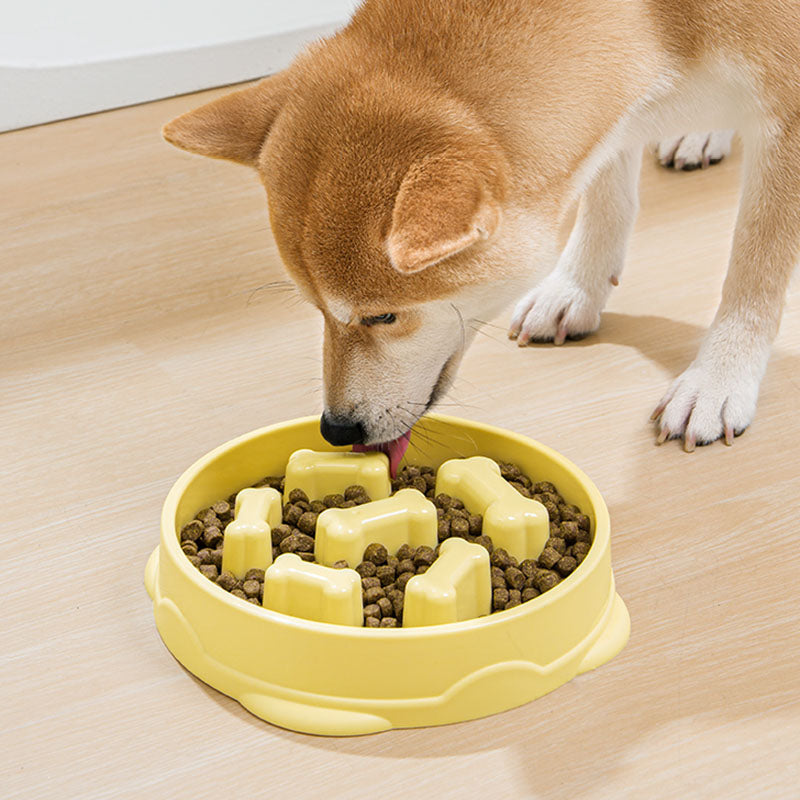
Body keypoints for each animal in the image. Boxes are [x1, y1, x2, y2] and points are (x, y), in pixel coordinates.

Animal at [162, 0, 800, 462]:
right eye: (315, 309)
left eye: (383, 316)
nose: (336, 429)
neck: (655, 17)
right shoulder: (615, 104)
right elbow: (608, 190)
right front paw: (575, 289)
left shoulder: (786, 117)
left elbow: (755, 266)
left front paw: (719, 379)